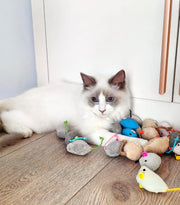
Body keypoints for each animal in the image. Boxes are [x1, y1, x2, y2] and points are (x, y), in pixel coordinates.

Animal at [0, 69, 148, 147]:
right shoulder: (95, 132)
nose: (102, 110)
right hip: (39, 124)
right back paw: (25, 132)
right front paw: (143, 143)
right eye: (94, 99)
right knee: (6, 119)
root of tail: (19, 96)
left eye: (110, 99)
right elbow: (121, 137)